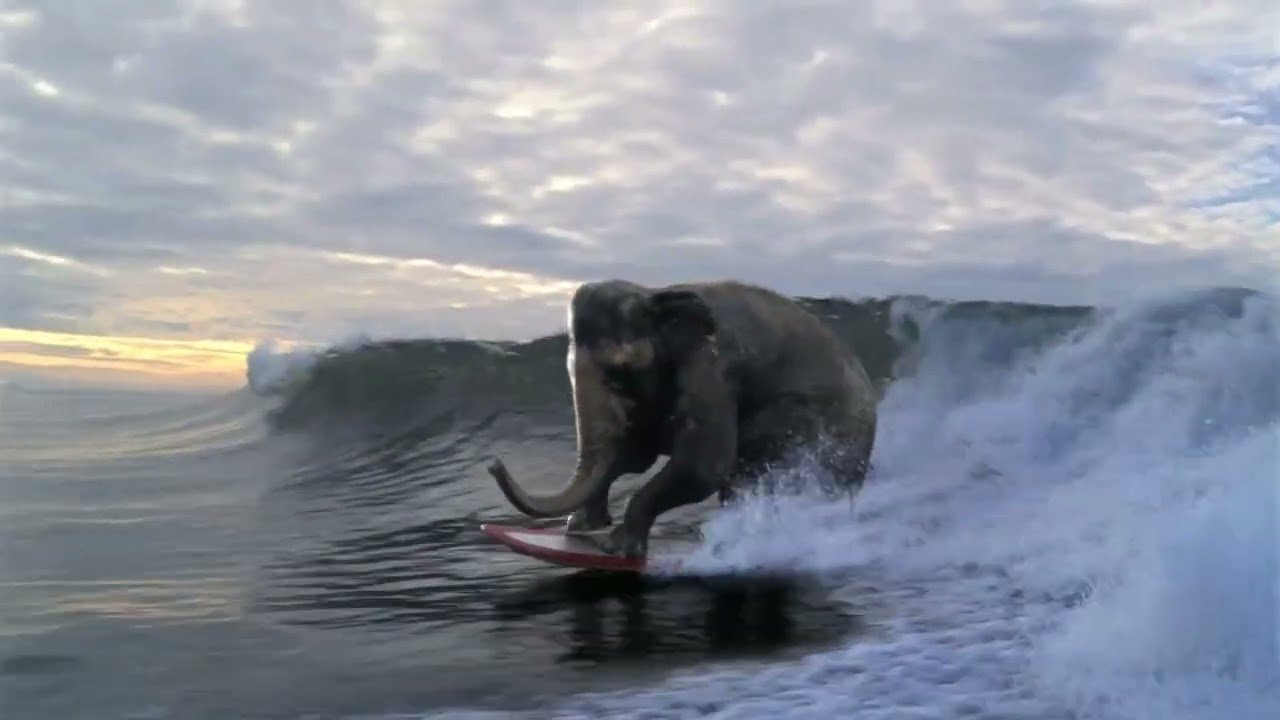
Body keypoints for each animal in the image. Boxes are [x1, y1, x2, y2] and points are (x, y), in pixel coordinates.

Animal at [487, 279, 878, 557]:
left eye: (619, 371)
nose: (494, 463)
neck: (655, 294)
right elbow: (635, 455)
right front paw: (578, 529)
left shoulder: (713, 371)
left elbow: (703, 466)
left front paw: (614, 548)